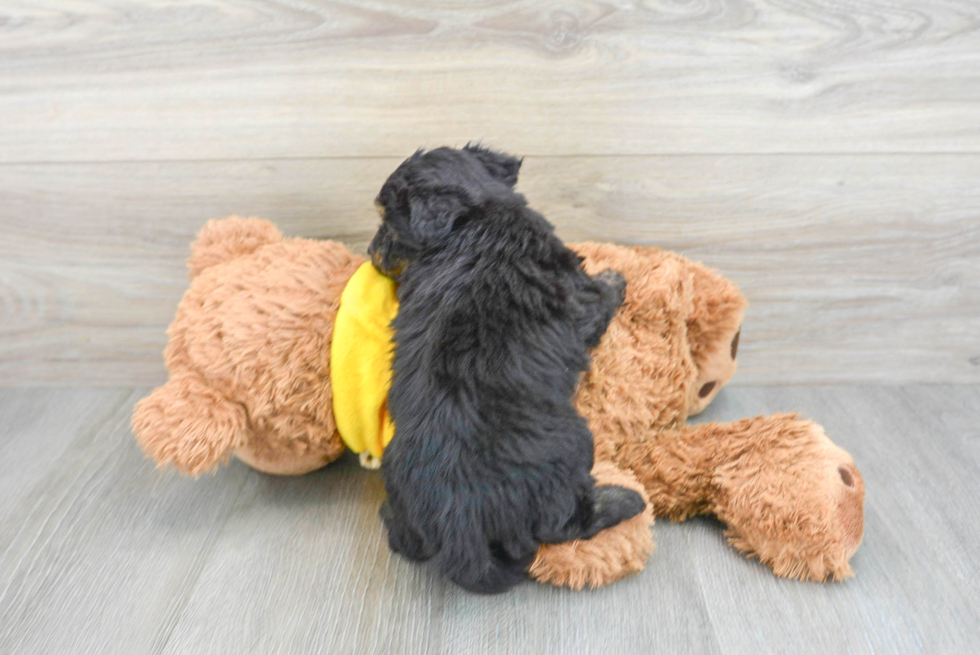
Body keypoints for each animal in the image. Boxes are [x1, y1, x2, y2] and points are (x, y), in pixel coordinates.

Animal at [368, 144, 644, 596]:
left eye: (389, 226)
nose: (369, 255)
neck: (479, 217)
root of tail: (460, 525)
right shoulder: (579, 301)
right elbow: (600, 298)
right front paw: (614, 277)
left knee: (405, 539)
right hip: (574, 442)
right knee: (564, 524)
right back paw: (625, 500)